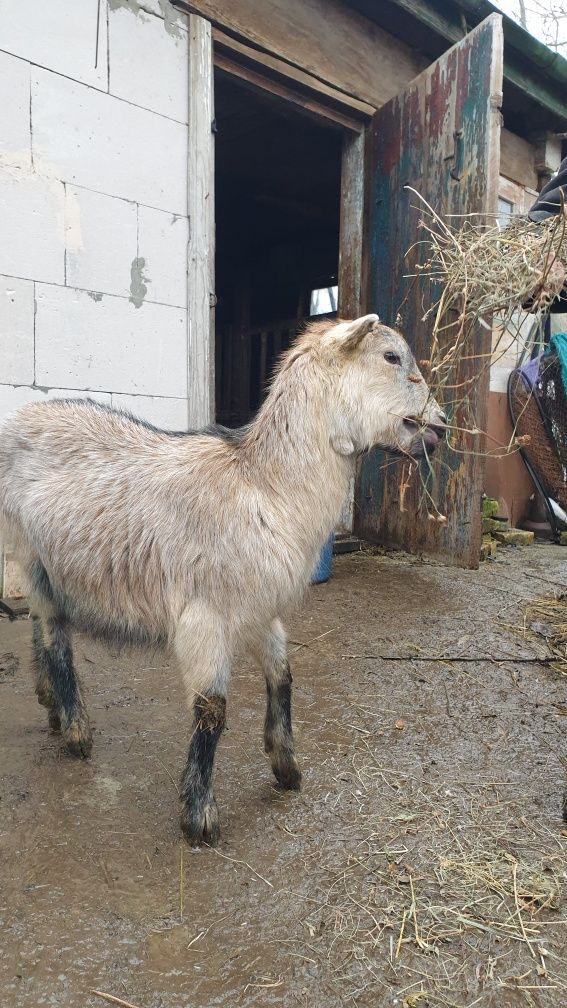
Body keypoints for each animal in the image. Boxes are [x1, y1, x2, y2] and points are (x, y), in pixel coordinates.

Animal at [0, 312, 445, 842]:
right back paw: (75, 730)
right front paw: (199, 816)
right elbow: (212, 709)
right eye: (391, 356)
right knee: (54, 634)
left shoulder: (260, 610)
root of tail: (17, 420)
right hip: (26, 551)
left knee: (41, 626)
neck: (264, 487)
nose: (440, 428)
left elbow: (282, 676)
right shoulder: (205, 616)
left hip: (50, 565)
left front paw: (286, 767)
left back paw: (50, 704)